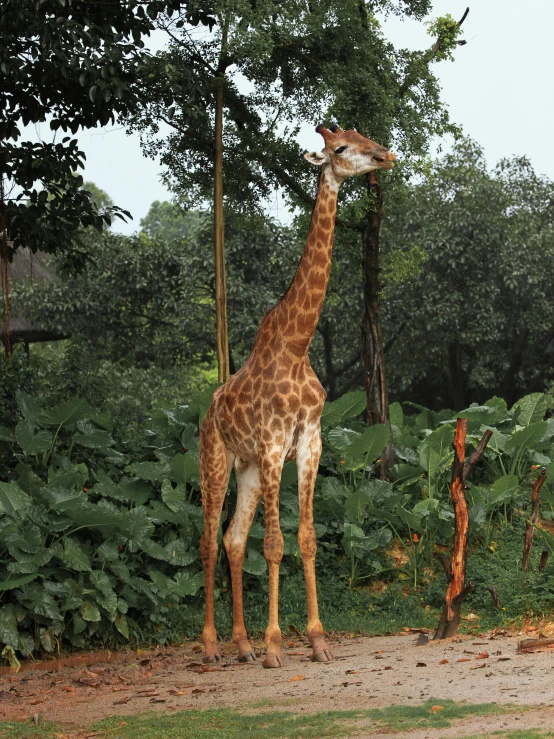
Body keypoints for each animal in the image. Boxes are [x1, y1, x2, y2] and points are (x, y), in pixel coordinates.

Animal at [198, 124, 392, 668]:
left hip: (245, 470)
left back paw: (241, 644)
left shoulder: (309, 441)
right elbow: (274, 545)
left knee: (232, 539)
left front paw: (317, 639)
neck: (297, 342)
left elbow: (304, 539)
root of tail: (207, 411)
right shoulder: (271, 445)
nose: (385, 156)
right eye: (341, 148)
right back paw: (213, 644)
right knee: (208, 541)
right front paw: (275, 645)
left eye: (362, 135)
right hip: (217, 461)